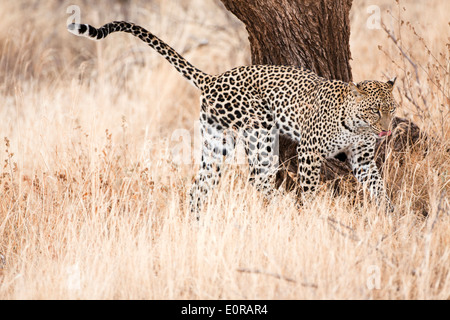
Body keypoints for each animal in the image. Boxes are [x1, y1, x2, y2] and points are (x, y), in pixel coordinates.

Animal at [68, 21, 396, 214]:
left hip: (217, 143)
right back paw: (278, 212)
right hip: (261, 133)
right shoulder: (309, 152)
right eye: (374, 110)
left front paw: (390, 214)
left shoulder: (362, 159)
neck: (356, 126)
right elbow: (309, 187)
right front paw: (310, 215)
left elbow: (378, 186)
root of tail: (213, 78)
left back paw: (196, 226)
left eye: (392, 110)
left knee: (200, 185)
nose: (386, 131)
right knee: (258, 178)